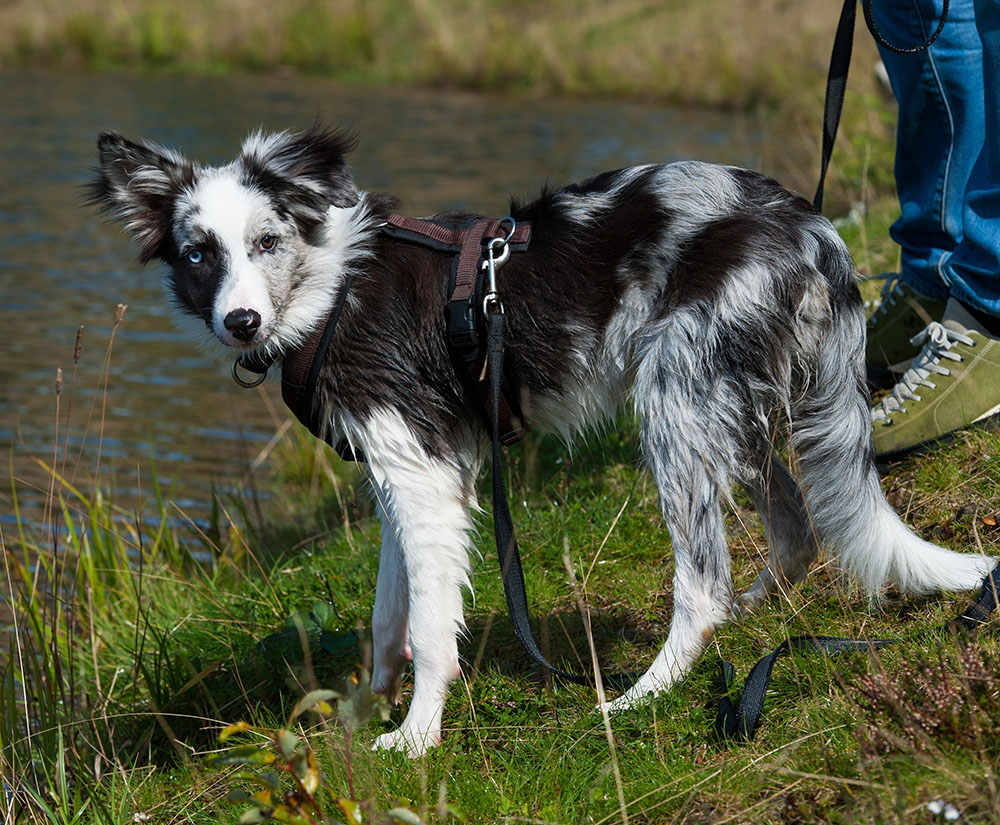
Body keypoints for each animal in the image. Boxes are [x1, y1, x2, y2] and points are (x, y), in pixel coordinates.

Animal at [90, 122, 996, 752]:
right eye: (198, 255)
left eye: (266, 242)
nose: (240, 321)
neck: (332, 287)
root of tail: (815, 229)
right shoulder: (406, 472)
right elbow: (389, 616)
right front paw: (366, 709)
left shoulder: (422, 477)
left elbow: (429, 628)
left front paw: (414, 738)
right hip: (730, 407)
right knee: (797, 528)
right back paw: (752, 613)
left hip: (673, 404)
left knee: (703, 582)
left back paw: (643, 693)